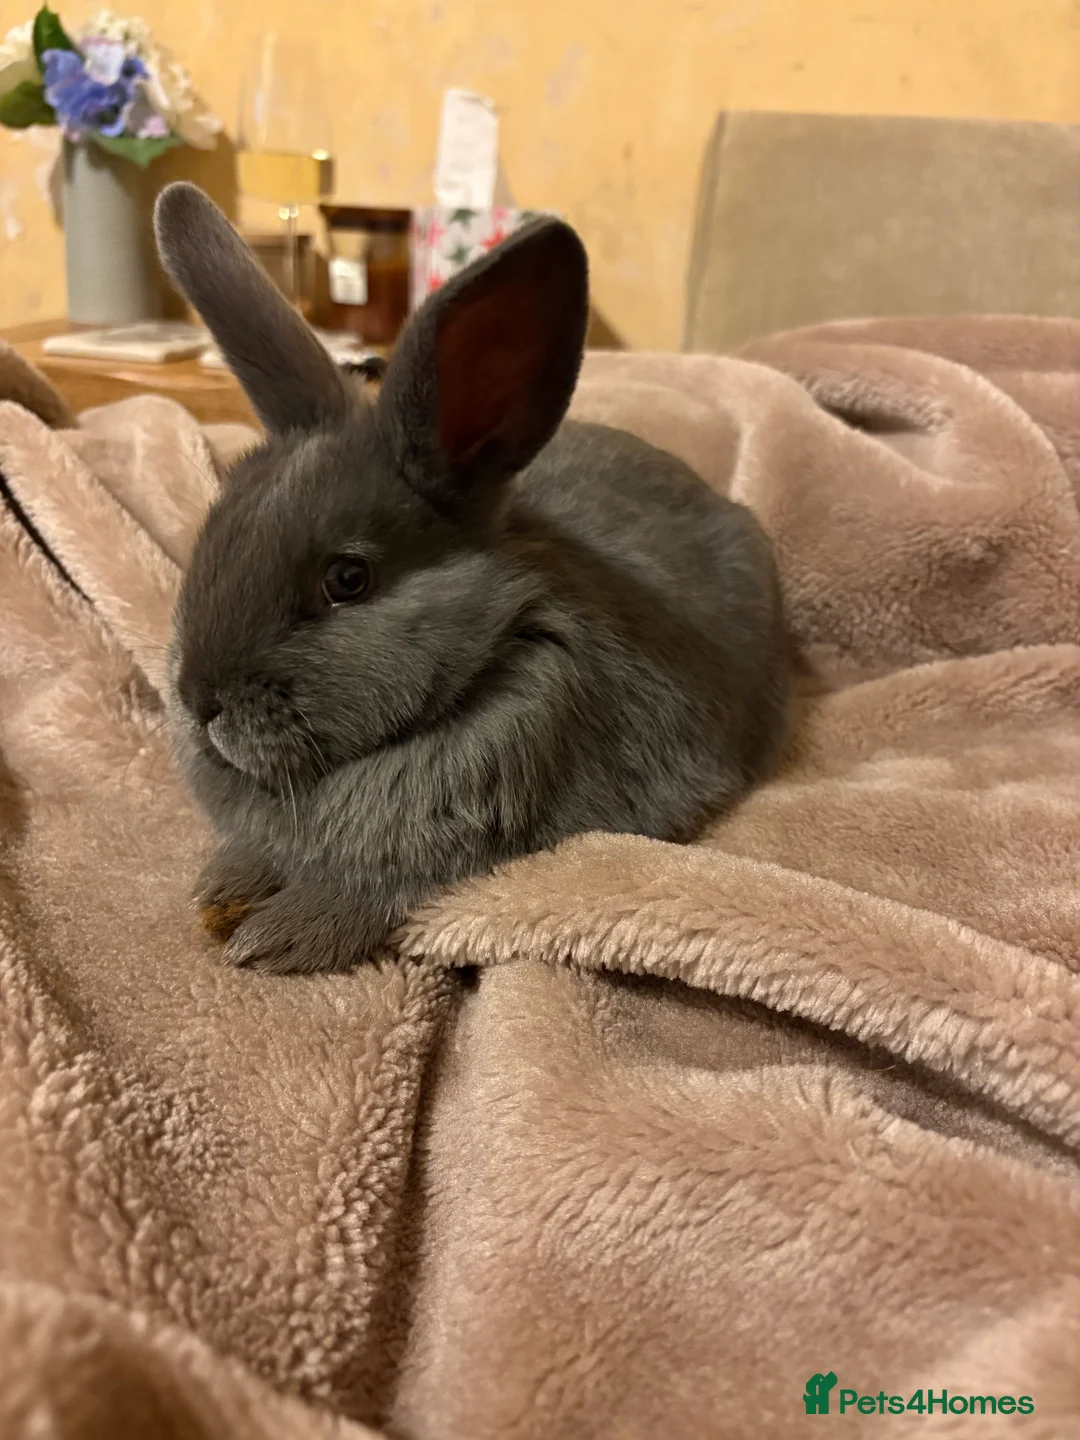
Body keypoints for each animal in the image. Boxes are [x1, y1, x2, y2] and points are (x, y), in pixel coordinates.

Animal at [153, 182, 788, 975]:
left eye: (348, 578)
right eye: (213, 536)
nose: (198, 701)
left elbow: (363, 891)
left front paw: (275, 937)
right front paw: (220, 893)